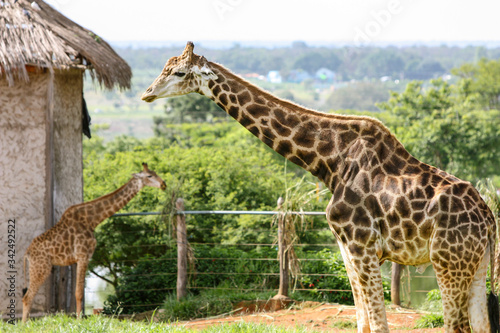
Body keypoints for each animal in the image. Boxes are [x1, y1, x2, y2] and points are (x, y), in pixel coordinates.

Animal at [22, 162, 166, 320]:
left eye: (155, 173)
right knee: (27, 297)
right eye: (149, 176)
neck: (93, 220)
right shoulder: (83, 255)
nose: (164, 184)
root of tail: (27, 253)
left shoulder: (80, 258)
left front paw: (78, 318)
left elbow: (78, 293)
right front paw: (79, 321)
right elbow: (79, 293)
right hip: (41, 267)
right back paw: (24, 324)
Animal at [143, 42, 498, 330]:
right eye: (164, 67)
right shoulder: (347, 249)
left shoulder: (363, 247)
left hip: (447, 262)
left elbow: (378, 324)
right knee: (480, 324)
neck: (331, 163)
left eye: (178, 71)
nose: (147, 92)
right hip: (475, 265)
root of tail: (488, 218)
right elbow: (362, 323)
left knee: (457, 326)